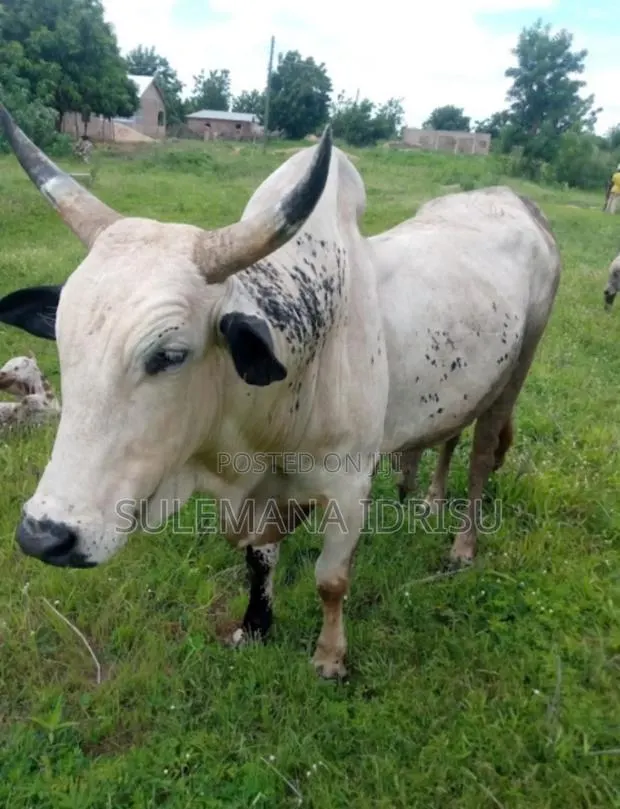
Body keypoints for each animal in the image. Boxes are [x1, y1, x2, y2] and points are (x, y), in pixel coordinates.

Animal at [0, 102, 391, 680]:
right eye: (62, 342)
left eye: (169, 354)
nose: (43, 535)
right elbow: (259, 557)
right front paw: (256, 626)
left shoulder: (349, 486)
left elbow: (331, 579)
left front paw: (329, 658)